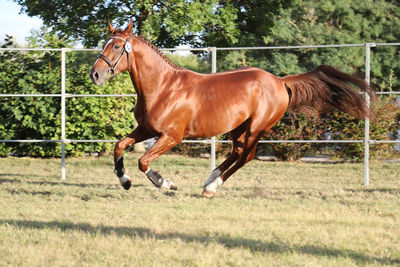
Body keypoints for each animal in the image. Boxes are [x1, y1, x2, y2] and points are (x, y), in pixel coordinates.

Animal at [90, 19, 376, 198]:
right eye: (105, 44)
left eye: (117, 46)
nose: (95, 74)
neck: (163, 87)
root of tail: (280, 81)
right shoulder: (146, 129)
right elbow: (119, 146)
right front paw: (125, 181)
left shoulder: (171, 136)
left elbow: (143, 161)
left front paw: (166, 183)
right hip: (238, 128)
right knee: (237, 153)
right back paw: (209, 180)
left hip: (256, 128)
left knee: (246, 156)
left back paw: (212, 187)